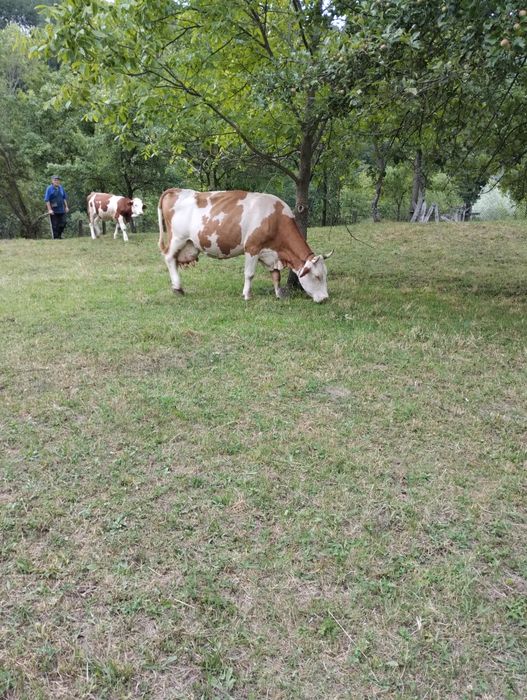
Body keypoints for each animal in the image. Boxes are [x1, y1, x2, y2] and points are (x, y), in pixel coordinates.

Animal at [158, 188, 332, 302]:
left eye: (326, 275)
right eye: (317, 276)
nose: (325, 298)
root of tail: (177, 190)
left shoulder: (270, 253)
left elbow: (276, 275)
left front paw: (279, 294)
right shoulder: (252, 248)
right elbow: (249, 274)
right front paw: (247, 295)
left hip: (187, 242)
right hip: (178, 238)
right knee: (169, 258)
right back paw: (178, 288)